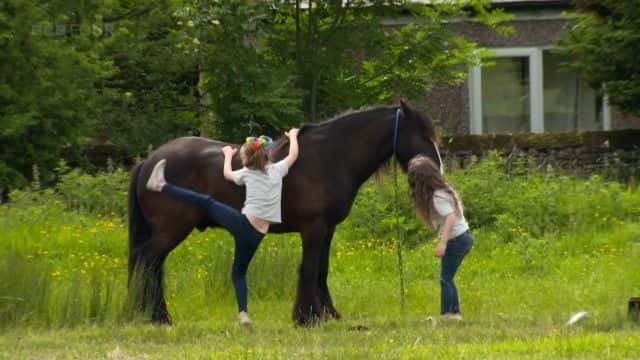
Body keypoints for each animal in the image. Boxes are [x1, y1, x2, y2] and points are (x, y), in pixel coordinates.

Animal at [127, 99, 442, 326]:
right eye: (423, 135)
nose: (437, 167)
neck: (329, 156)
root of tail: (150, 161)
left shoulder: (327, 229)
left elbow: (321, 270)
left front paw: (329, 314)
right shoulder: (313, 228)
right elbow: (309, 268)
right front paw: (306, 317)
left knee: (151, 265)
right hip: (171, 230)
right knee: (148, 261)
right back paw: (158, 317)